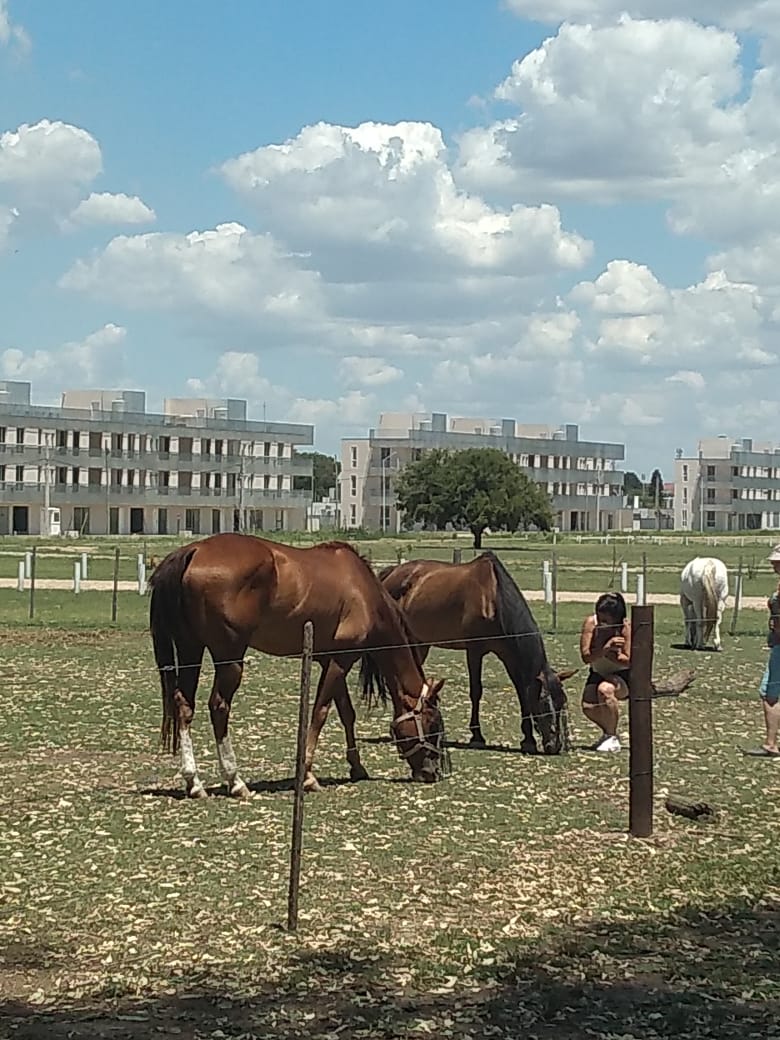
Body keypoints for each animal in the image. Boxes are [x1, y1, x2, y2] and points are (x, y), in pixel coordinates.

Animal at [149, 533, 447, 798]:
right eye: (432, 724)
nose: (432, 773)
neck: (363, 592)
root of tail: (194, 550)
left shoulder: (331, 660)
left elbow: (346, 713)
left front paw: (357, 767)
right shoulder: (340, 661)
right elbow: (320, 713)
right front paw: (307, 776)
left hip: (190, 649)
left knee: (184, 704)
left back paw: (194, 782)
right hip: (229, 658)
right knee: (219, 707)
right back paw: (236, 781)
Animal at [378, 552, 576, 754]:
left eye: (562, 702)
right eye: (544, 702)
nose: (556, 745)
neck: (493, 599)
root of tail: (390, 573)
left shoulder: (509, 656)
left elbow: (521, 692)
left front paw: (528, 740)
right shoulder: (474, 651)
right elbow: (476, 691)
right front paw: (477, 736)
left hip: (419, 643)